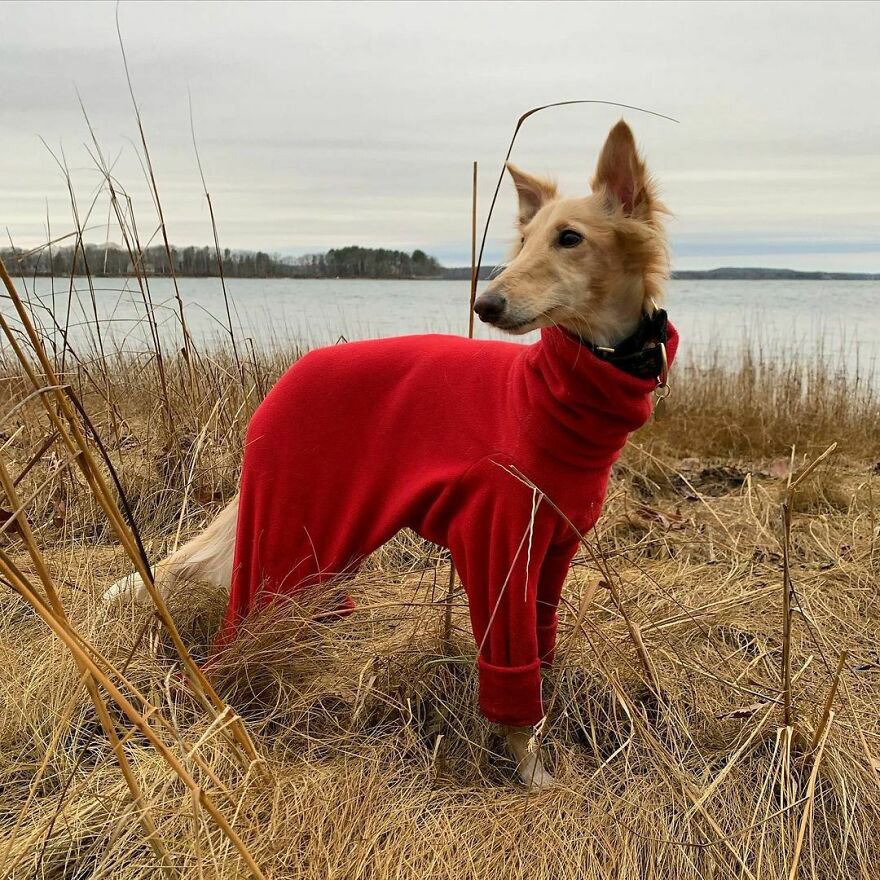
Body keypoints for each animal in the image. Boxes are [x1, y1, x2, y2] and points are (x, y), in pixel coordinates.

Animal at [105, 120, 677, 789]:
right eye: (524, 239)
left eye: (570, 238)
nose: (486, 305)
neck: (552, 397)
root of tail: (283, 382)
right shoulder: (498, 545)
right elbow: (512, 675)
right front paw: (533, 772)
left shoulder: (552, 553)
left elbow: (541, 644)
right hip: (283, 542)